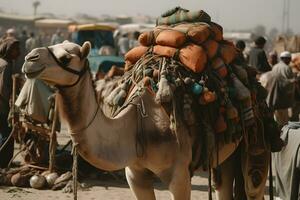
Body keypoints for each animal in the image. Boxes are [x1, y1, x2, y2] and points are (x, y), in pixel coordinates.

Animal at [22, 41, 268, 200]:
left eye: (66, 57)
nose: (28, 59)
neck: (136, 128)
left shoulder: (179, 176)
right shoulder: (135, 175)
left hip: (254, 139)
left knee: (253, 184)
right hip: (223, 153)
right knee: (223, 183)